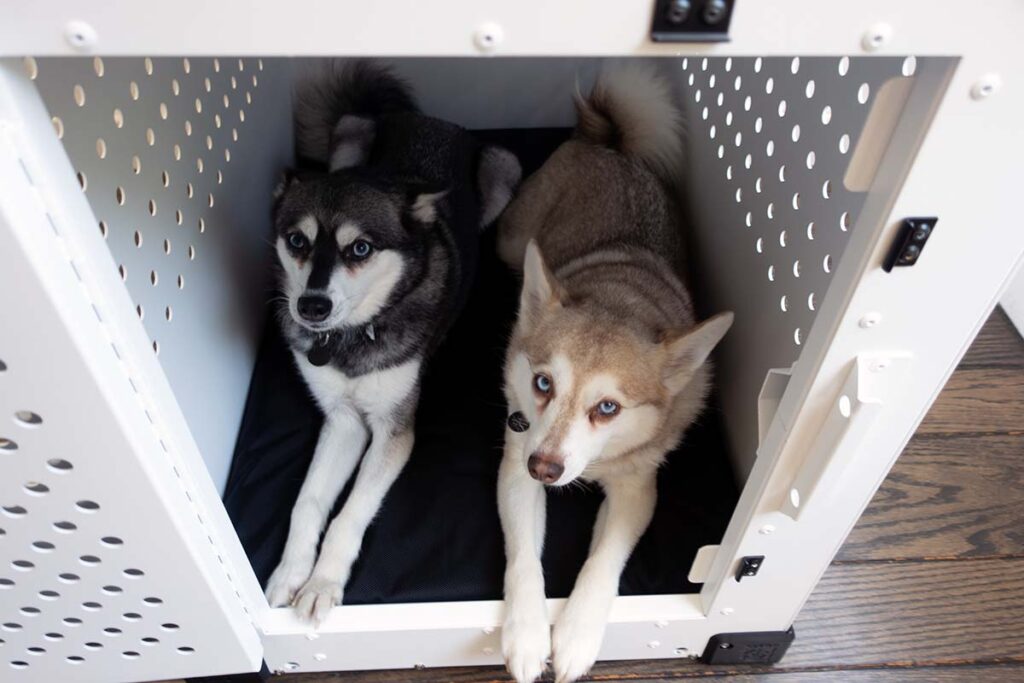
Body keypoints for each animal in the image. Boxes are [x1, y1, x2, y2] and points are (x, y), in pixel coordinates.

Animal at [266, 63, 520, 626]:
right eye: (296, 241)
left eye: (360, 248)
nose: (311, 307)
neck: (351, 338)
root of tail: (427, 118)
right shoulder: (342, 421)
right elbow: (307, 502)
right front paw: (291, 573)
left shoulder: (391, 429)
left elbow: (350, 512)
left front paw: (322, 582)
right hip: (349, 131)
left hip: (503, 166)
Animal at [497, 65, 733, 683]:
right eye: (543, 383)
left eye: (608, 408)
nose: (546, 467)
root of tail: (609, 145)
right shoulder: (515, 464)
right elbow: (524, 556)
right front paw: (526, 633)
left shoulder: (636, 488)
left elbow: (604, 560)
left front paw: (578, 634)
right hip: (512, 241)